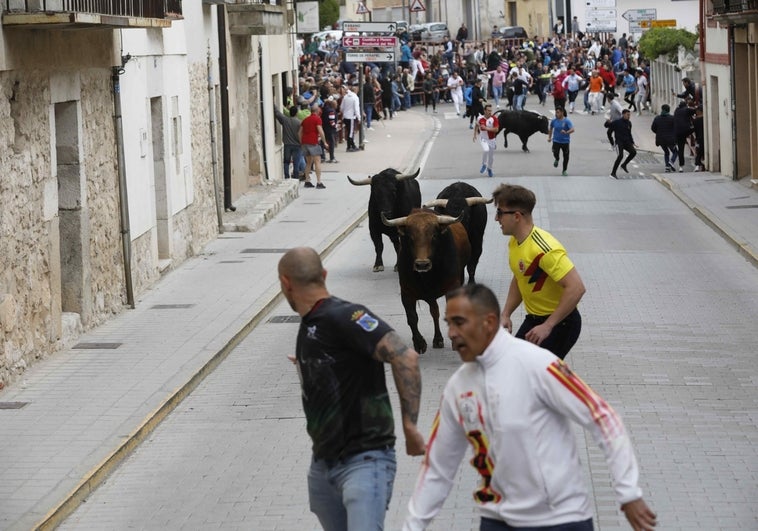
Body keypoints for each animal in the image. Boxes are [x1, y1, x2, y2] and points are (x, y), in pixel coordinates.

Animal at [382, 208, 472, 354]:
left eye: (434, 236)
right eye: (410, 237)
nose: (422, 264)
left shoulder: (453, 287)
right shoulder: (406, 292)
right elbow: (412, 318)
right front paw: (419, 343)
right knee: (434, 312)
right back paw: (438, 339)